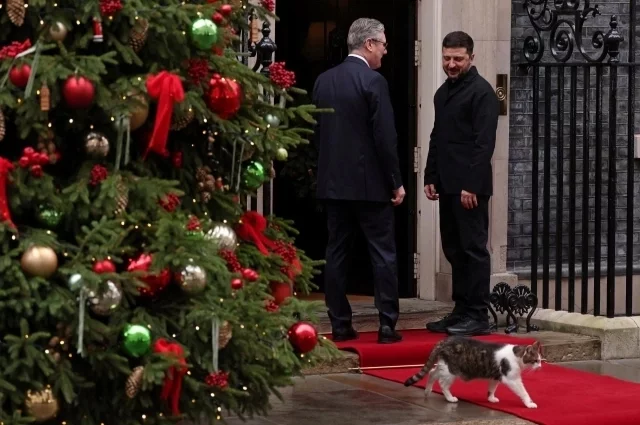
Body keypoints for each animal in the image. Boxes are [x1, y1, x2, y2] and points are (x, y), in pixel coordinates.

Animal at [403, 336, 543, 409]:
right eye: (535, 360)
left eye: (540, 360)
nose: (540, 366)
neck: (517, 356)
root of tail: (444, 341)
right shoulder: (512, 379)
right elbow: (524, 392)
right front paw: (529, 403)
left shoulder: (495, 376)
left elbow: (491, 389)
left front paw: (491, 398)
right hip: (451, 371)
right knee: (442, 384)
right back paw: (450, 398)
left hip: (445, 366)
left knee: (432, 372)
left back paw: (427, 391)